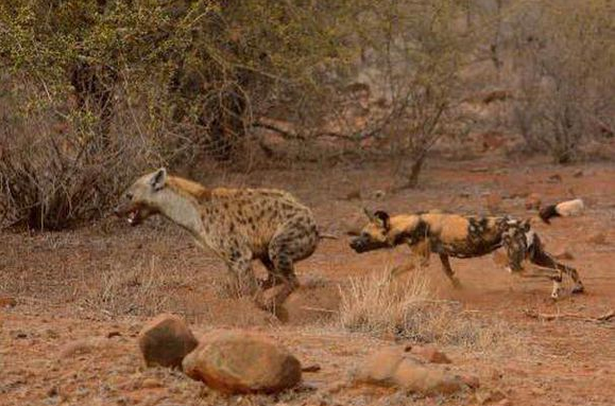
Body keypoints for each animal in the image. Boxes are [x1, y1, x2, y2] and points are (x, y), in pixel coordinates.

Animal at [112, 167, 320, 312]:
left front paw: (258, 309)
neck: (193, 214)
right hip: (265, 250)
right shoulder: (228, 257)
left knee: (291, 279)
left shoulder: (240, 255)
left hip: (285, 238)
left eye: (129, 195)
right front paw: (235, 302)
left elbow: (249, 289)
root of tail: (314, 223)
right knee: (276, 276)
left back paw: (273, 303)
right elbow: (233, 286)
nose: (115, 210)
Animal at [352, 209, 588, 298]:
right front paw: (459, 288)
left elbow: (392, 272)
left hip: (518, 267)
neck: (411, 223)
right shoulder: (442, 254)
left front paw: (380, 287)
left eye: (365, 234)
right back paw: (577, 288)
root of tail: (523, 223)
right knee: (568, 268)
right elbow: (449, 273)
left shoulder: (421, 260)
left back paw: (555, 293)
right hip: (537, 256)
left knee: (555, 273)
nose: (351, 243)